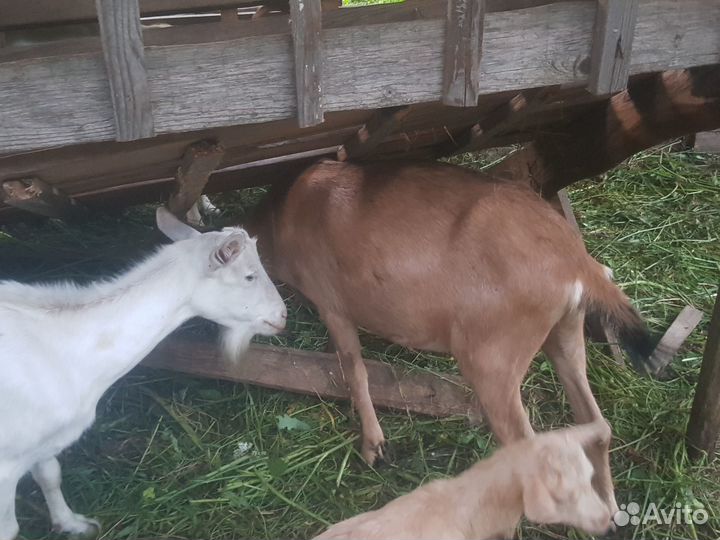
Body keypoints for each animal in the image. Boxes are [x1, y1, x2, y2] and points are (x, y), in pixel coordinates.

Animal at [0, 208, 286, 540]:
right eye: (250, 275)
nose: (283, 315)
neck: (67, 349)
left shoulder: (45, 439)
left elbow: (50, 475)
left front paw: (74, 524)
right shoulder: (6, 464)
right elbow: (9, 528)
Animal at [248, 159, 659, 517]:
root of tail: (577, 263)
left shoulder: (333, 304)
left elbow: (354, 366)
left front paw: (373, 445)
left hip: (493, 357)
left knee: (526, 443)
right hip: (566, 332)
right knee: (597, 426)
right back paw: (608, 515)